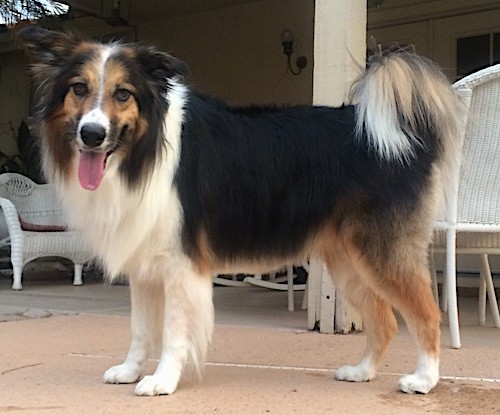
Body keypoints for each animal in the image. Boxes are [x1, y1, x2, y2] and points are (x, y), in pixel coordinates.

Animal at [20, 25, 464, 396]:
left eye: (123, 93)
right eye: (79, 88)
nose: (92, 135)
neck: (143, 149)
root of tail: (401, 132)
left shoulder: (180, 264)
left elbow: (174, 331)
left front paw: (162, 380)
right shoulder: (144, 262)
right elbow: (141, 328)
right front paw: (130, 370)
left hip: (382, 251)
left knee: (426, 313)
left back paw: (424, 380)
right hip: (348, 260)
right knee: (384, 319)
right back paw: (362, 371)